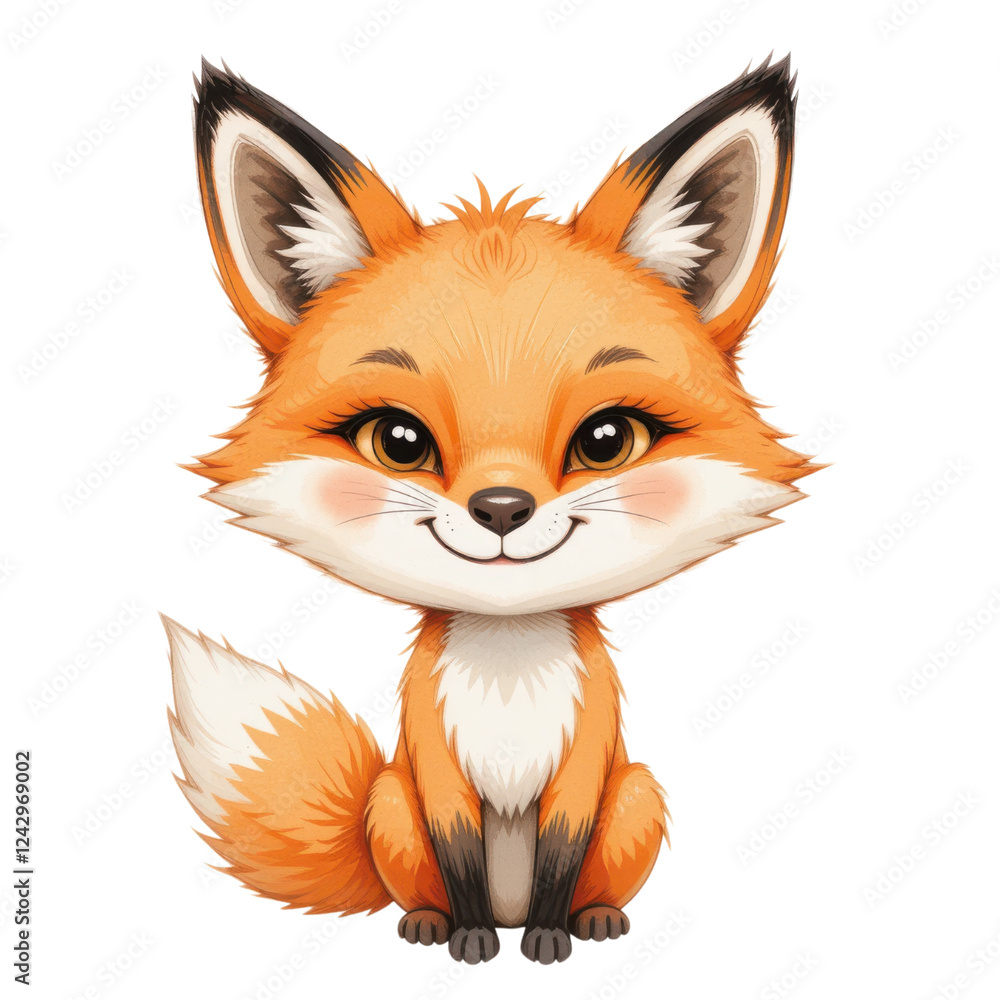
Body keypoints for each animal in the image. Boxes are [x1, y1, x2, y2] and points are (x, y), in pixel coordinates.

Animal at [166, 56, 814, 965]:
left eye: (607, 438)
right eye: (398, 440)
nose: (501, 507)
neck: (510, 667)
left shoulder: (587, 758)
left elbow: (561, 853)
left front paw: (548, 936)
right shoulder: (432, 763)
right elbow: (460, 848)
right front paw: (469, 939)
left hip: (639, 793)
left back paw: (592, 918)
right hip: (389, 799)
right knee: (422, 878)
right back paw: (431, 921)